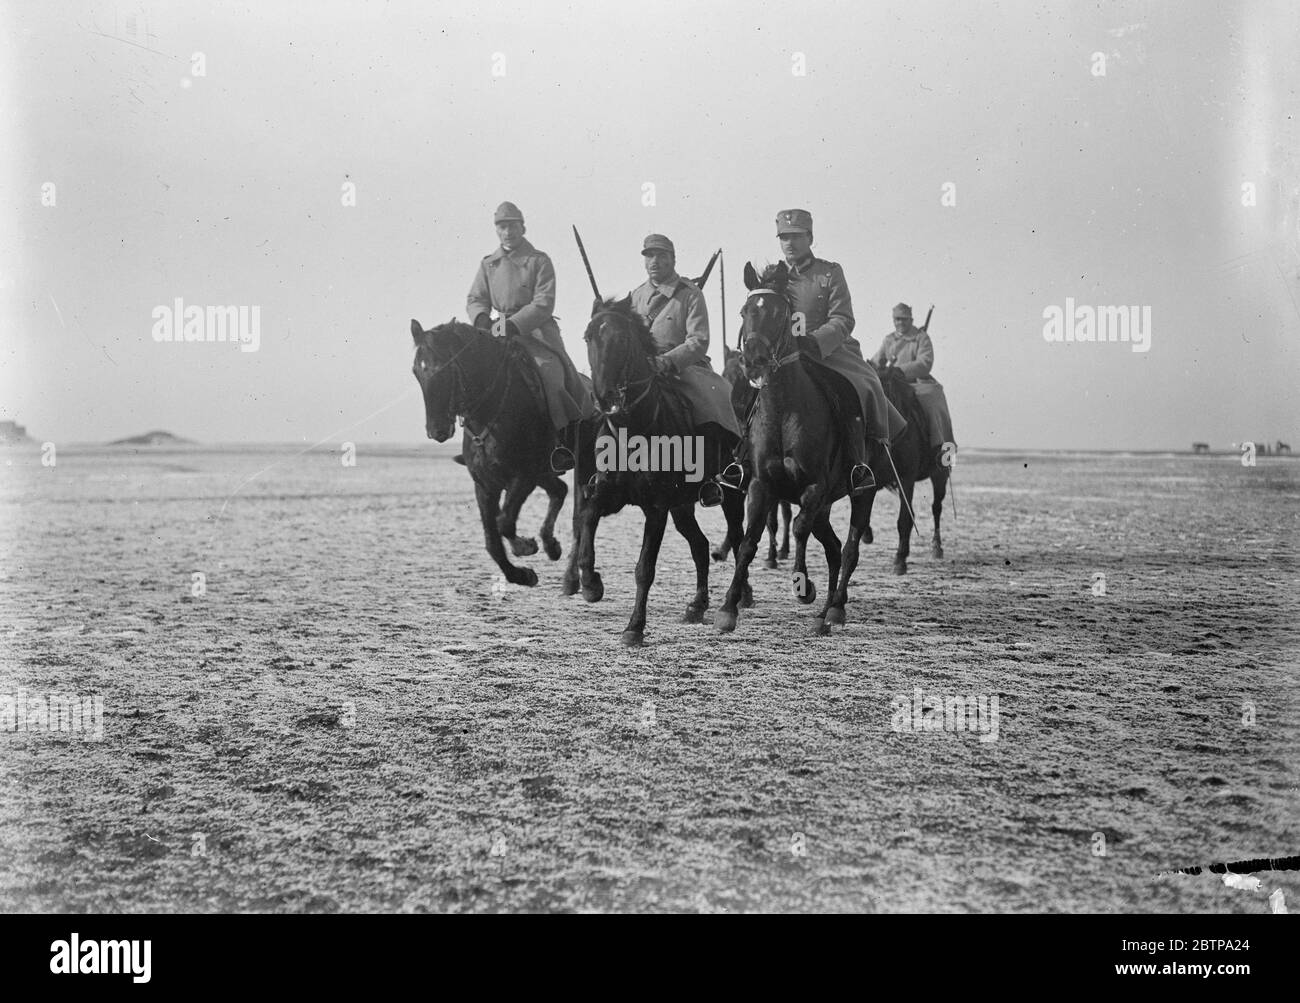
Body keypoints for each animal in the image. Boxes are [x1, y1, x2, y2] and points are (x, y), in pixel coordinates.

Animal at [410, 320, 603, 600]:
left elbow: (503, 522)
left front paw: (524, 547)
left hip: (583, 469)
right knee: (559, 490)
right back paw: (551, 545)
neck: (490, 411)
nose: (436, 430)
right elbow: (492, 540)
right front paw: (522, 574)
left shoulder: (523, 477)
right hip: (545, 473)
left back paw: (572, 578)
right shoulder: (485, 486)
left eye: (445, 368)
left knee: (579, 518)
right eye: (417, 371)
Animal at [582, 293, 748, 647]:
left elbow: (645, 568)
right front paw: (590, 583)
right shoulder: (608, 495)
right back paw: (697, 606)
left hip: (732, 498)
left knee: (740, 541)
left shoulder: (656, 508)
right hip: (683, 507)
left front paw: (634, 627)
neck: (634, 429)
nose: (603, 397)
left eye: (621, 339)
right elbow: (588, 517)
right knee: (700, 546)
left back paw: (737, 601)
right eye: (588, 337)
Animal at [868, 361, 951, 571]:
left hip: (939, 476)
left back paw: (936, 548)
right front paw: (867, 534)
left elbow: (904, 519)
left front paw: (900, 559)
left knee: (936, 508)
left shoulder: (906, 478)